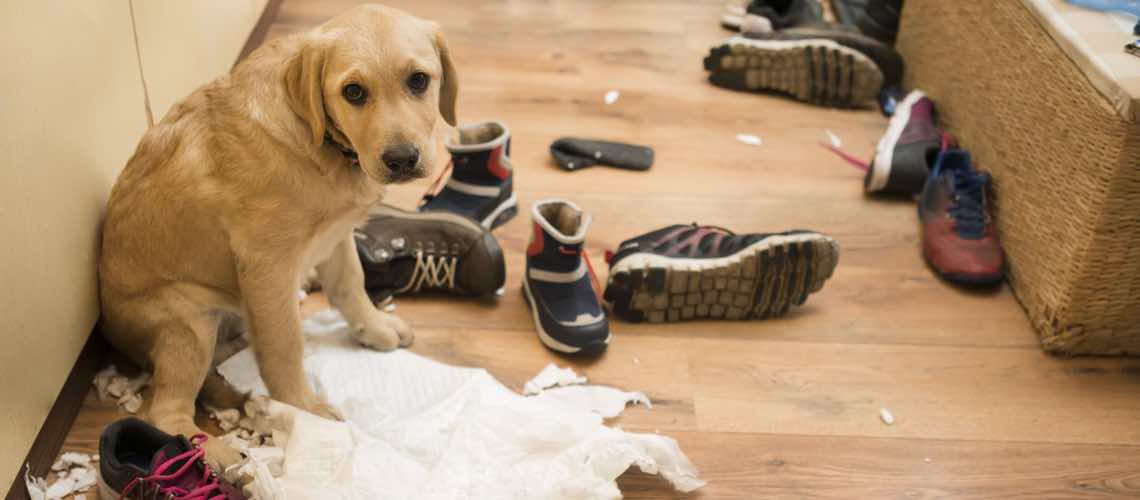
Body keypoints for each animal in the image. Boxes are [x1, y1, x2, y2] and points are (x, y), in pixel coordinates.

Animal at [98, 3, 453, 466]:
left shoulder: (337, 235)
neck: (321, 143)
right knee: (165, 410)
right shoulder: (267, 266)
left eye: (419, 80)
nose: (402, 159)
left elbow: (351, 285)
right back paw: (221, 456)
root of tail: (110, 331)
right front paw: (303, 410)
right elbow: (284, 345)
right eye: (354, 92)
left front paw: (374, 327)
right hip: (188, 323)